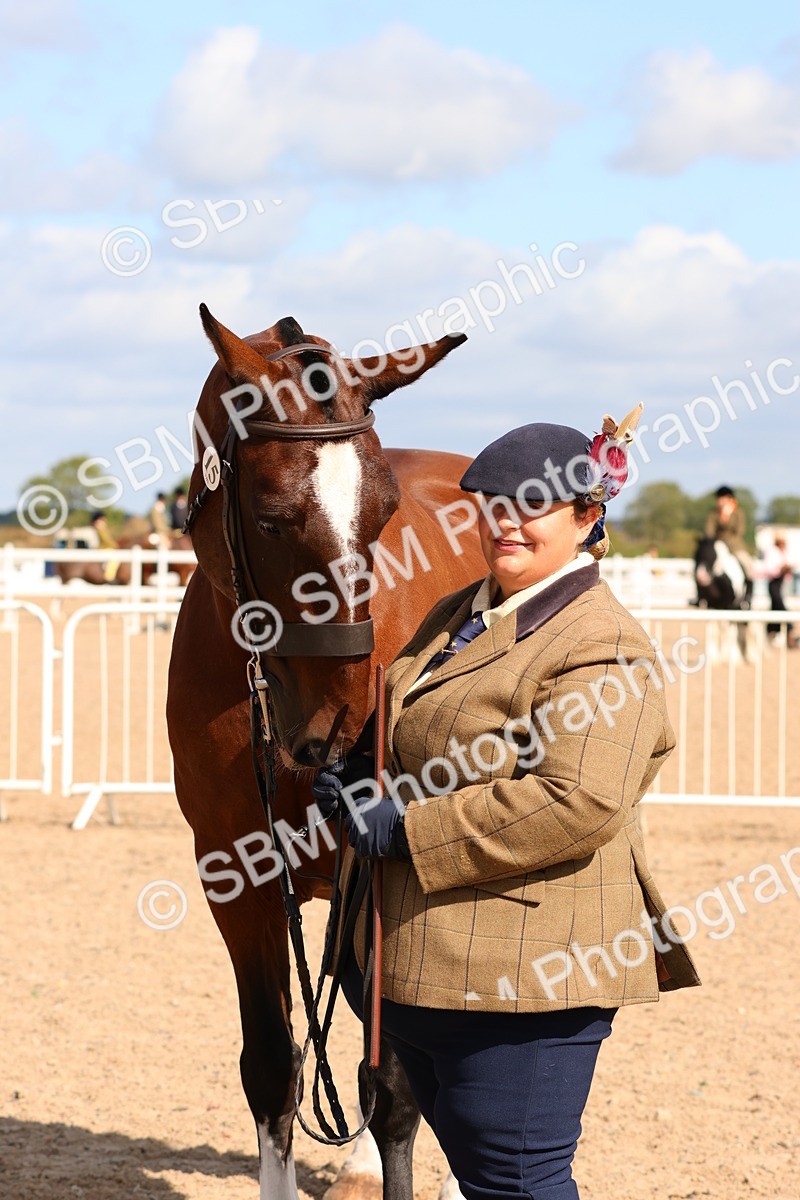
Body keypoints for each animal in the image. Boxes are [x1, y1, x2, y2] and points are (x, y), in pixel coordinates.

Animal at [166, 306, 486, 1200]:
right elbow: (273, 1070)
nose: (346, 720)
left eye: (383, 514)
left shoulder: (388, 874)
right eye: (271, 515)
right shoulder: (236, 879)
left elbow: (398, 1087)